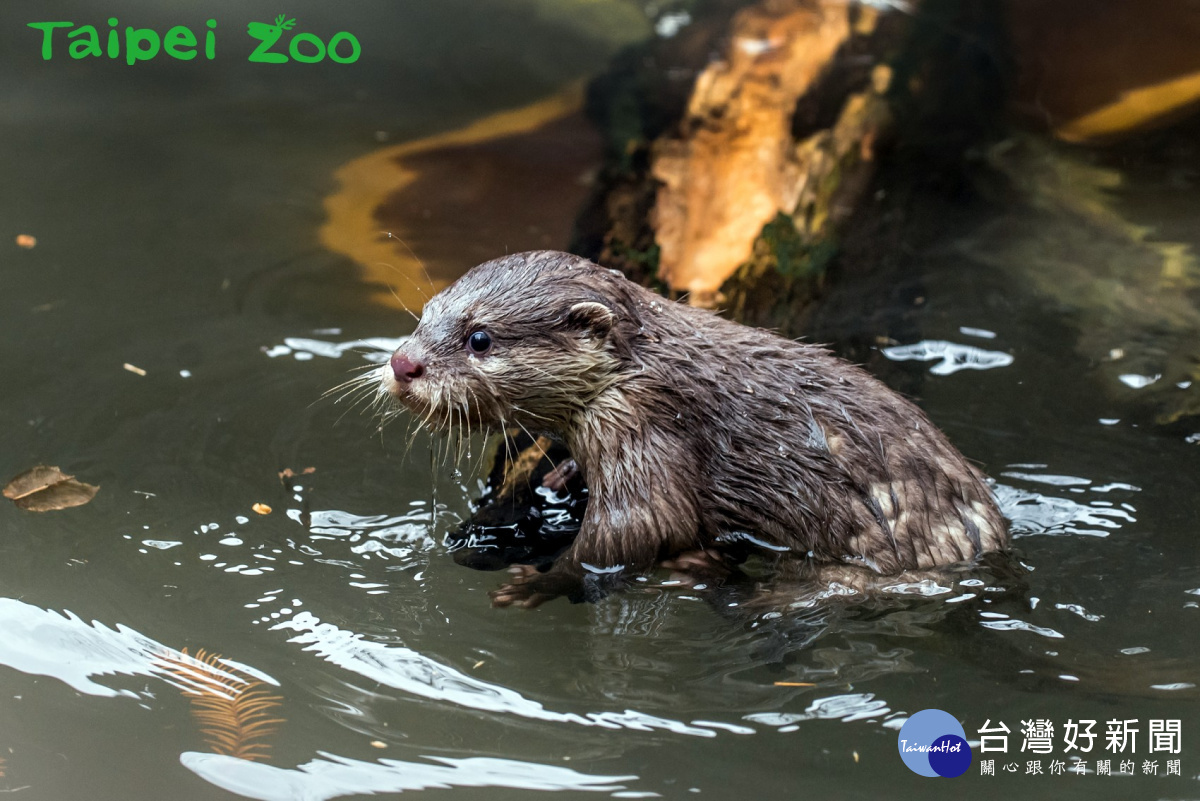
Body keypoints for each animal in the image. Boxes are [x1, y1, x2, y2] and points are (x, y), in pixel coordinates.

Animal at [379, 250, 1008, 606]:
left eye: (479, 337)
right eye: (426, 314)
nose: (403, 363)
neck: (643, 376)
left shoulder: (645, 430)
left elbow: (639, 531)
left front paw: (538, 583)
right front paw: (560, 473)